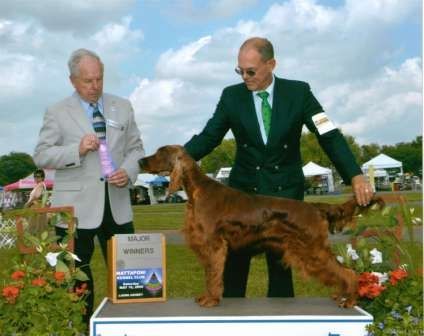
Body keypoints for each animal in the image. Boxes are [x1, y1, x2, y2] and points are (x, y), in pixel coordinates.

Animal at [140, 146, 384, 308]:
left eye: (160, 153)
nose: (140, 161)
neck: (197, 190)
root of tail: (315, 207)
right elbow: (211, 273)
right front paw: (207, 297)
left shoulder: (214, 244)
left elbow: (213, 275)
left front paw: (210, 299)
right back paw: (341, 295)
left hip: (312, 249)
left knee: (348, 272)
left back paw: (349, 299)